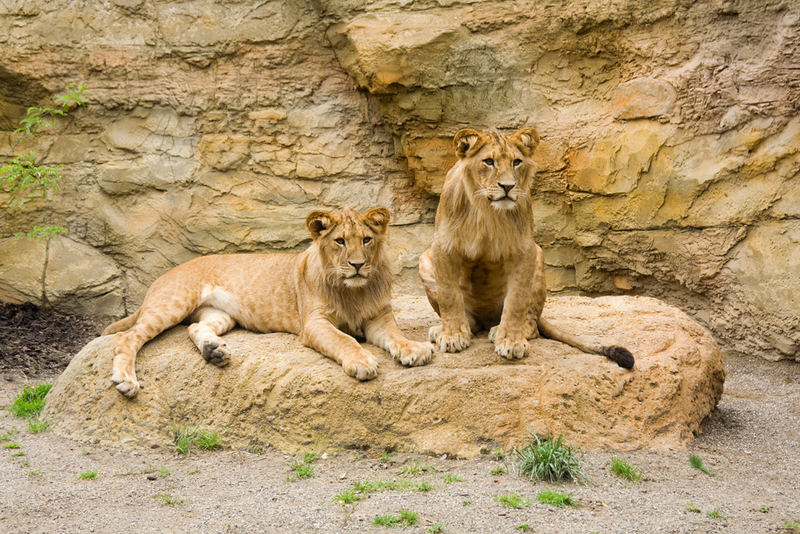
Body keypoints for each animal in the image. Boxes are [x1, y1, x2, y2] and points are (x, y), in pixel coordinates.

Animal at [105, 207, 434, 400]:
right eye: (340, 241)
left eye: (366, 239)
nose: (357, 265)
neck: (353, 291)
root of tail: (162, 276)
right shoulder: (314, 323)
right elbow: (344, 340)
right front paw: (362, 362)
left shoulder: (378, 317)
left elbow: (395, 335)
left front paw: (415, 350)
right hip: (173, 302)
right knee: (126, 336)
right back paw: (126, 381)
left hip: (221, 315)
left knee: (195, 328)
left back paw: (215, 352)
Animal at [416, 127, 636, 370]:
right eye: (489, 161)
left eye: (516, 162)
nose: (507, 186)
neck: (486, 210)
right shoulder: (442, 246)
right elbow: (449, 295)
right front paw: (453, 336)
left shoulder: (524, 249)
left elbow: (516, 300)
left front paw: (511, 341)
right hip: (425, 259)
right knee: (471, 321)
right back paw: (445, 329)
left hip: (538, 256)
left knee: (531, 323)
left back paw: (500, 331)